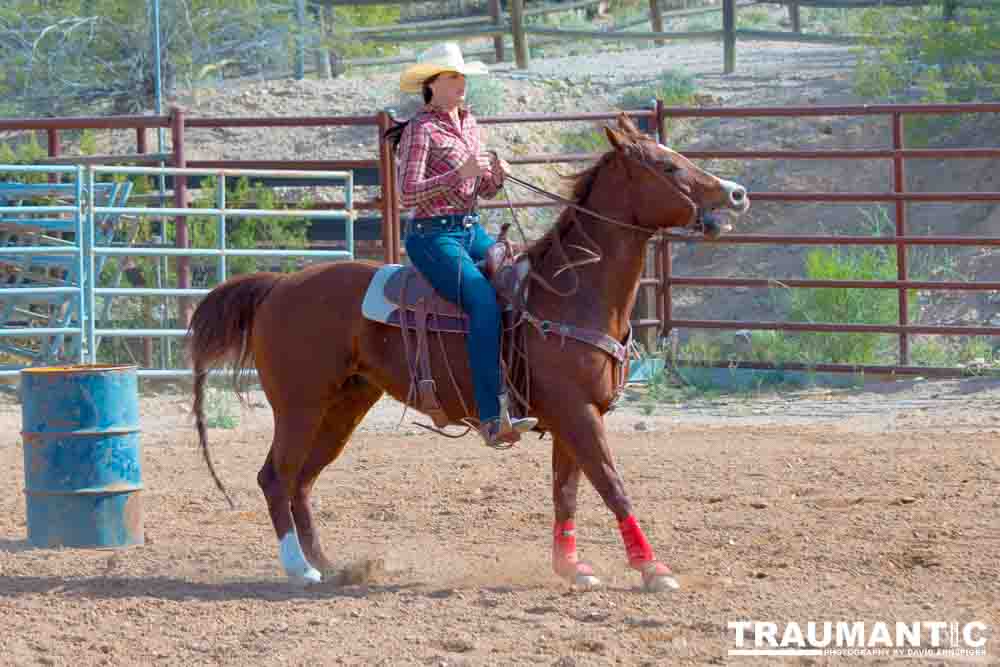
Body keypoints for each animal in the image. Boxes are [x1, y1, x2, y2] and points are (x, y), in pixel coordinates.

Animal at [189, 115, 752, 588]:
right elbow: (612, 485)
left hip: (345, 404)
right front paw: (653, 569)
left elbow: (566, 493)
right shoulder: (576, 412)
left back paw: (330, 565)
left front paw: (571, 568)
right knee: (276, 477)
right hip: (299, 404)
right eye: (667, 166)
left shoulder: (573, 415)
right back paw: (299, 569)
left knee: (302, 481)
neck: (571, 293)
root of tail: (279, 285)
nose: (738, 193)